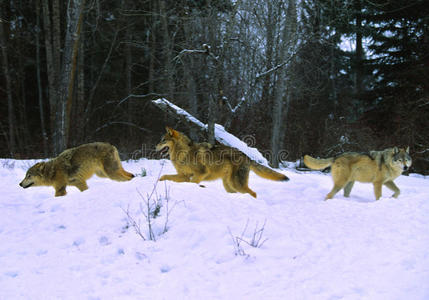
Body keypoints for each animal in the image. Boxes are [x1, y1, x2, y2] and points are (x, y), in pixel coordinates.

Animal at [154, 126, 288, 197]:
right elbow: (164, 176)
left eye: (163, 140)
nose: (155, 147)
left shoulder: (201, 173)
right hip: (229, 186)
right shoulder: (184, 176)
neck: (184, 152)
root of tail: (246, 156)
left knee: (253, 193)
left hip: (237, 185)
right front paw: (157, 183)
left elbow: (193, 182)